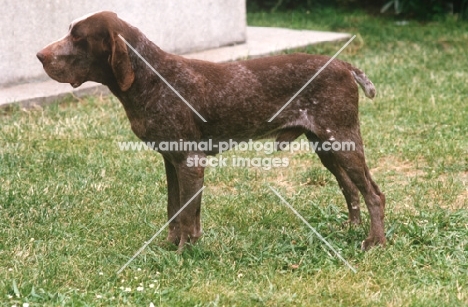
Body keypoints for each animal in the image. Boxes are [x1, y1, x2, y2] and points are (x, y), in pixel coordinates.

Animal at [36, 12, 386, 253]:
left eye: (78, 38)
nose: (39, 55)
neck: (153, 79)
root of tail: (344, 66)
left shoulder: (190, 162)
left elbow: (187, 214)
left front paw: (183, 253)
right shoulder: (172, 161)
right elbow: (175, 210)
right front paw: (172, 246)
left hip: (342, 140)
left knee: (374, 194)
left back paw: (375, 241)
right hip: (326, 146)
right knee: (350, 189)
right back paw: (351, 229)